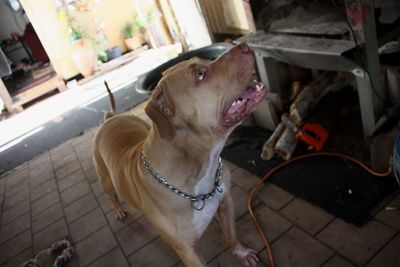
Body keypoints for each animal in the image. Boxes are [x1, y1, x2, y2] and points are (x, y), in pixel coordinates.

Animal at [93, 43, 266, 266]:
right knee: (110, 195)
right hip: (104, 176)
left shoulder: (226, 202)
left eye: (206, 60)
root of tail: (111, 118)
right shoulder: (187, 250)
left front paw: (241, 253)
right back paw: (118, 210)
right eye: (201, 74)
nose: (243, 45)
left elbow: (232, 235)